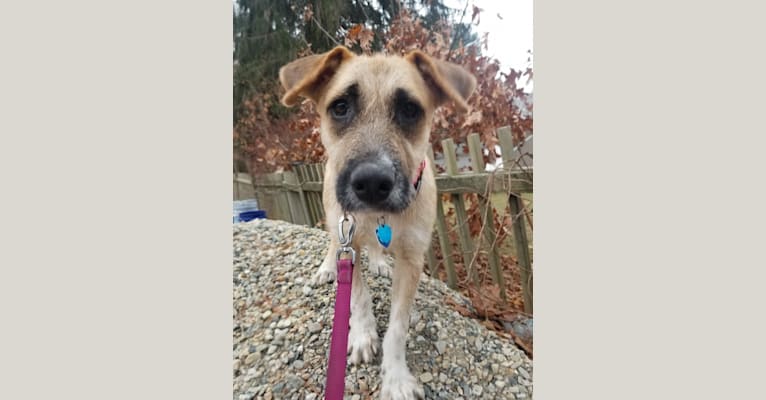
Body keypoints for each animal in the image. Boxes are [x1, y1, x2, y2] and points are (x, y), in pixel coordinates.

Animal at [280, 46, 476, 400]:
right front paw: (362, 335)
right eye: (340, 107)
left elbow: (398, 327)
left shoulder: (412, 259)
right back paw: (328, 268)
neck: (380, 216)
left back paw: (380, 261)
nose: (371, 183)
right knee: (333, 243)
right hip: (335, 218)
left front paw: (395, 377)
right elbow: (358, 297)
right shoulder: (350, 242)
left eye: (410, 110)